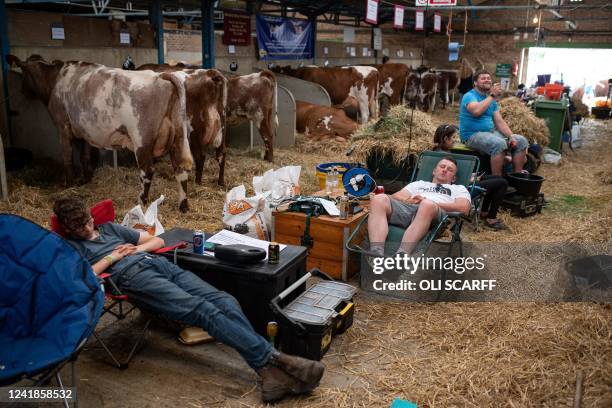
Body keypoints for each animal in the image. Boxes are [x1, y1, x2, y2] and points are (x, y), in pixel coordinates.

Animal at [7, 54, 194, 212]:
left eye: (23, 71)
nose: (22, 91)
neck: (56, 80)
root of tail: (160, 76)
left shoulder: (63, 125)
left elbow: (67, 157)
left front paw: (69, 184)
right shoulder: (85, 131)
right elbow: (85, 156)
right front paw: (86, 180)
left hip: (141, 139)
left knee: (147, 171)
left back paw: (141, 202)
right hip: (178, 136)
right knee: (180, 169)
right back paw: (183, 206)